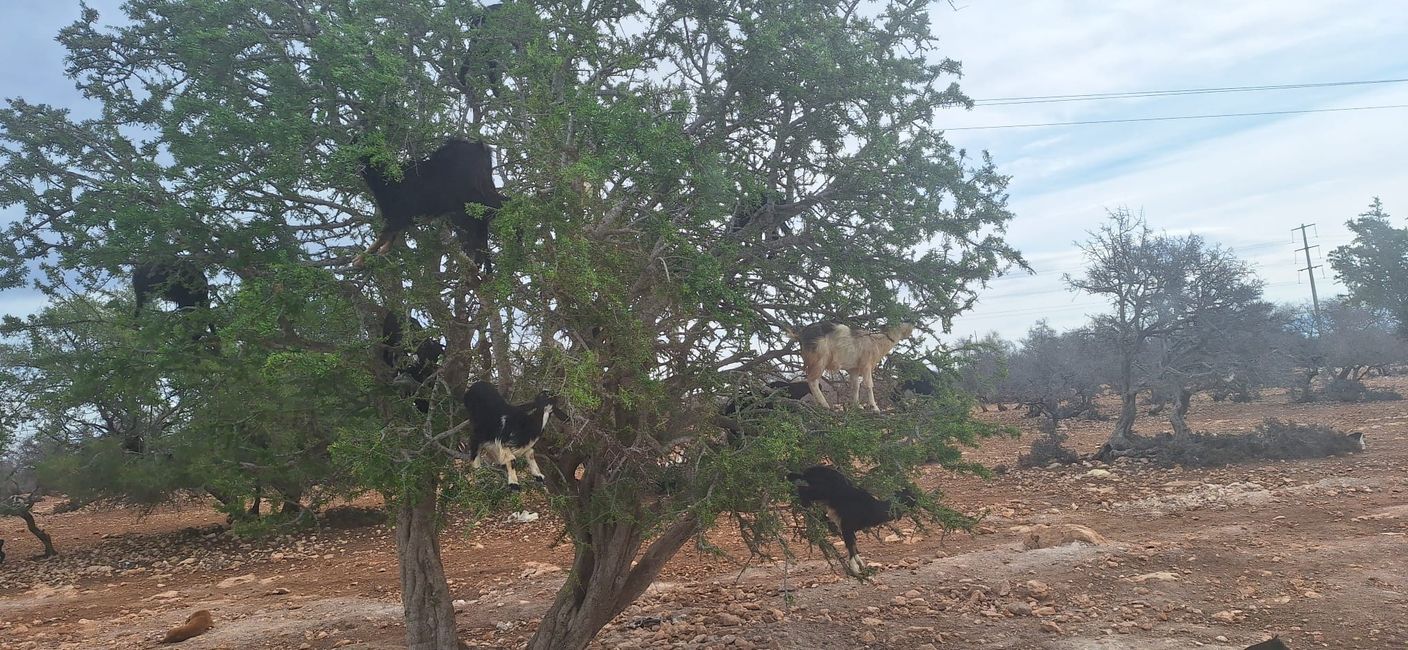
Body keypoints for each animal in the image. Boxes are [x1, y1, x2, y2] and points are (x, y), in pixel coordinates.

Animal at [788, 320, 918, 408]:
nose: (912, 323)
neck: (876, 342)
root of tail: (800, 335)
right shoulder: (866, 365)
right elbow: (869, 385)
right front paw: (875, 408)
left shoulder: (854, 369)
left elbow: (856, 386)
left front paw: (857, 406)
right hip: (820, 360)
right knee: (812, 381)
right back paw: (825, 405)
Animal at [788, 464, 918, 576]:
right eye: (908, 497)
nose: (916, 500)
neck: (874, 508)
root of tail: (809, 471)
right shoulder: (847, 525)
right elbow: (850, 546)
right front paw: (855, 569)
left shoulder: (850, 529)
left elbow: (854, 545)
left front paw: (860, 564)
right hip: (820, 490)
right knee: (802, 491)